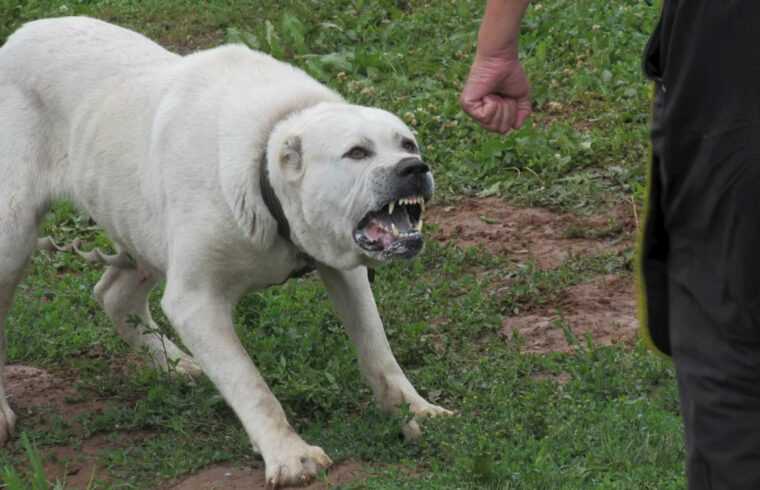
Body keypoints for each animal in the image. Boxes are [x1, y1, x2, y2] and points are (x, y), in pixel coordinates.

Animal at [0, 17, 452, 488]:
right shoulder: (196, 301)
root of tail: (19, 36)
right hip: (12, 237)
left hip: (142, 227)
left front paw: (416, 409)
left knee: (114, 294)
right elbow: (250, 384)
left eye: (408, 144)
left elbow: (378, 350)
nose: (414, 169)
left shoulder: (345, 271)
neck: (265, 173)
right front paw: (289, 455)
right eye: (357, 153)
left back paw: (175, 364)